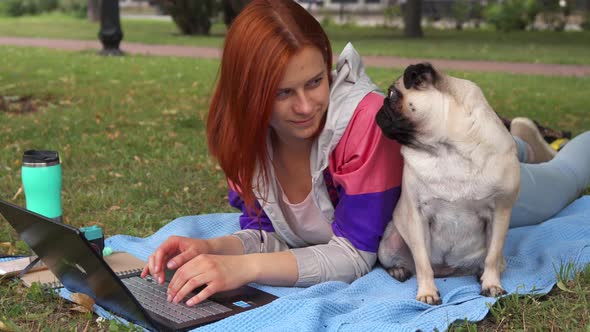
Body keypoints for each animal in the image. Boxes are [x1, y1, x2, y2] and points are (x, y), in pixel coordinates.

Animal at [376, 63, 520, 304]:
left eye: (393, 94)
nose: (380, 107)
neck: (446, 150)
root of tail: (448, 271)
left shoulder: (501, 212)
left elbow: (492, 256)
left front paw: (491, 284)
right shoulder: (417, 216)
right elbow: (422, 262)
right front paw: (427, 292)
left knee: (494, 260)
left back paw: (481, 273)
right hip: (388, 242)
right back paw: (398, 270)